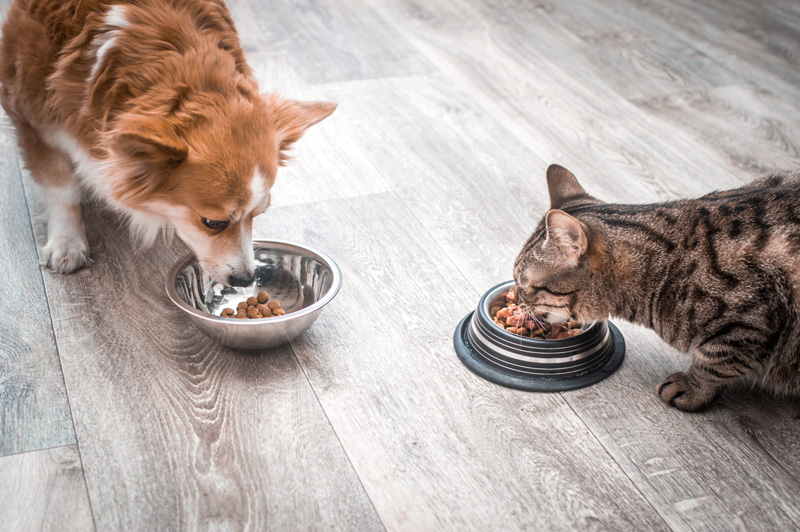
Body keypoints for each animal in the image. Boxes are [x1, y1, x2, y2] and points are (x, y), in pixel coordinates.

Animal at [0, 0, 334, 286]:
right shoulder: (33, 123)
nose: (245, 280)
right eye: (212, 223)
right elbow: (62, 189)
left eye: (259, 214)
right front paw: (67, 243)